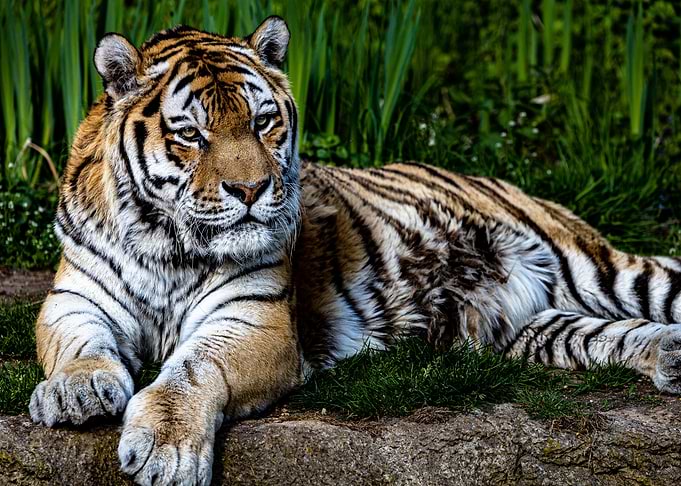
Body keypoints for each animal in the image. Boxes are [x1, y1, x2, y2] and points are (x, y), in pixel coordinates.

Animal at [28, 15, 681, 486]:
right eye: (191, 133)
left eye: (263, 122)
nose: (250, 190)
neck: (167, 245)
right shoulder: (73, 297)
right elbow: (79, 343)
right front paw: (77, 391)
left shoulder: (256, 322)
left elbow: (192, 369)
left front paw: (165, 447)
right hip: (523, 326)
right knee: (602, 335)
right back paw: (669, 356)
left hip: (595, 267)